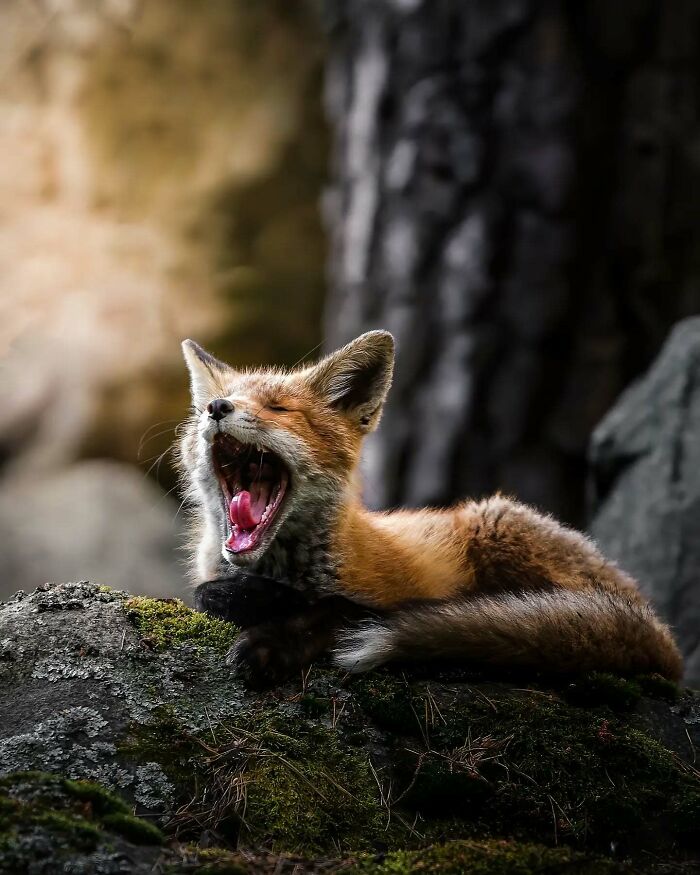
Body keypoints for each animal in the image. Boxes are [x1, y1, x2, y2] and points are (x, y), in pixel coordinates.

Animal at [178, 330, 683, 686]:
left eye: (278, 408)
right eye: (205, 408)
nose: (217, 408)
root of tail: (659, 629)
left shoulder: (389, 595)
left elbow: (338, 610)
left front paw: (272, 640)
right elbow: (208, 594)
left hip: (496, 524)